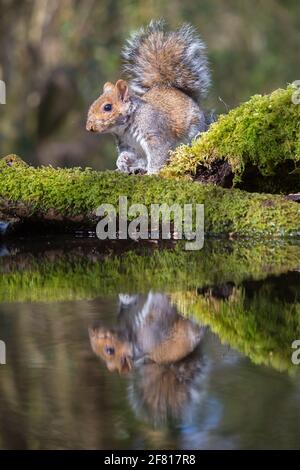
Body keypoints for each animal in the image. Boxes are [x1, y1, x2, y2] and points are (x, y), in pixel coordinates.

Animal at [85, 20, 210, 174]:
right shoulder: (127, 144)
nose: (89, 127)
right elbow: (128, 154)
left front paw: (152, 173)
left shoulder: (154, 133)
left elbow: (158, 154)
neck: (125, 128)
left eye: (107, 107)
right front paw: (121, 162)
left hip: (194, 129)